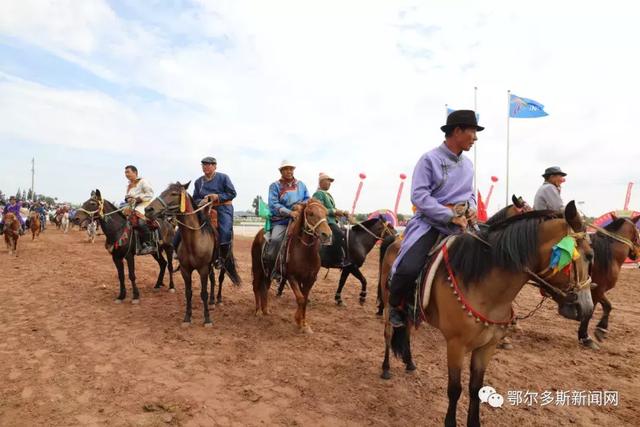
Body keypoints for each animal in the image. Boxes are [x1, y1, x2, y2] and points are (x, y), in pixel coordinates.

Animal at [146, 182, 241, 326]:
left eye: (174, 193)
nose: (148, 209)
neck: (194, 240)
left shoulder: (203, 269)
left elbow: (203, 293)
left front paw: (207, 319)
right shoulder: (185, 270)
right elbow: (188, 293)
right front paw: (187, 318)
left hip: (223, 260)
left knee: (220, 279)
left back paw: (218, 299)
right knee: (213, 279)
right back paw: (212, 301)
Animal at [250, 199, 332, 332]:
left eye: (326, 213)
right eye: (310, 213)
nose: (327, 235)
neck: (305, 252)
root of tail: (259, 235)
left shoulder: (310, 279)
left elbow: (304, 299)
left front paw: (303, 324)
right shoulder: (292, 277)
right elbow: (301, 299)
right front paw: (298, 320)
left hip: (268, 271)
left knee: (265, 288)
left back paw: (265, 310)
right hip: (257, 268)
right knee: (256, 286)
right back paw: (257, 311)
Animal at [380, 201, 596, 427]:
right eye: (589, 255)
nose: (587, 308)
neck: (483, 284)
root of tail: (395, 240)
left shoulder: (487, 347)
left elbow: (476, 389)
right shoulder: (455, 345)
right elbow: (454, 390)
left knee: (407, 332)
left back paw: (409, 362)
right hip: (387, 304)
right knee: (388, 333)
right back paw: (386, 368)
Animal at [580, 214, 640, 352]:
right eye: (638, 233)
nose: (636, 254)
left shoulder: (597, 290)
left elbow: (608, 306)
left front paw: (601, 329)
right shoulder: (597, 290)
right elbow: (590, 312)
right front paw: (585, 337)